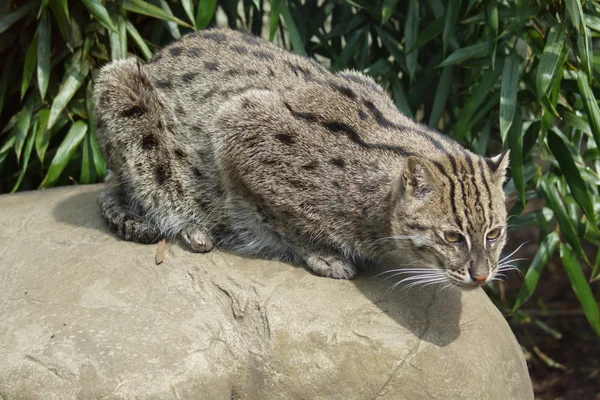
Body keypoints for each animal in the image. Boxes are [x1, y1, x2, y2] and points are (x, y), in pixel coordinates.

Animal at [92, 28, 506, 288]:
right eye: (452, 237)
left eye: (495, 233)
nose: (482, 276)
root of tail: (156, 56)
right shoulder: (235, 126)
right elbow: (277, 214)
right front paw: (319, 253)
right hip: (116, 82)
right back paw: (191, 226)